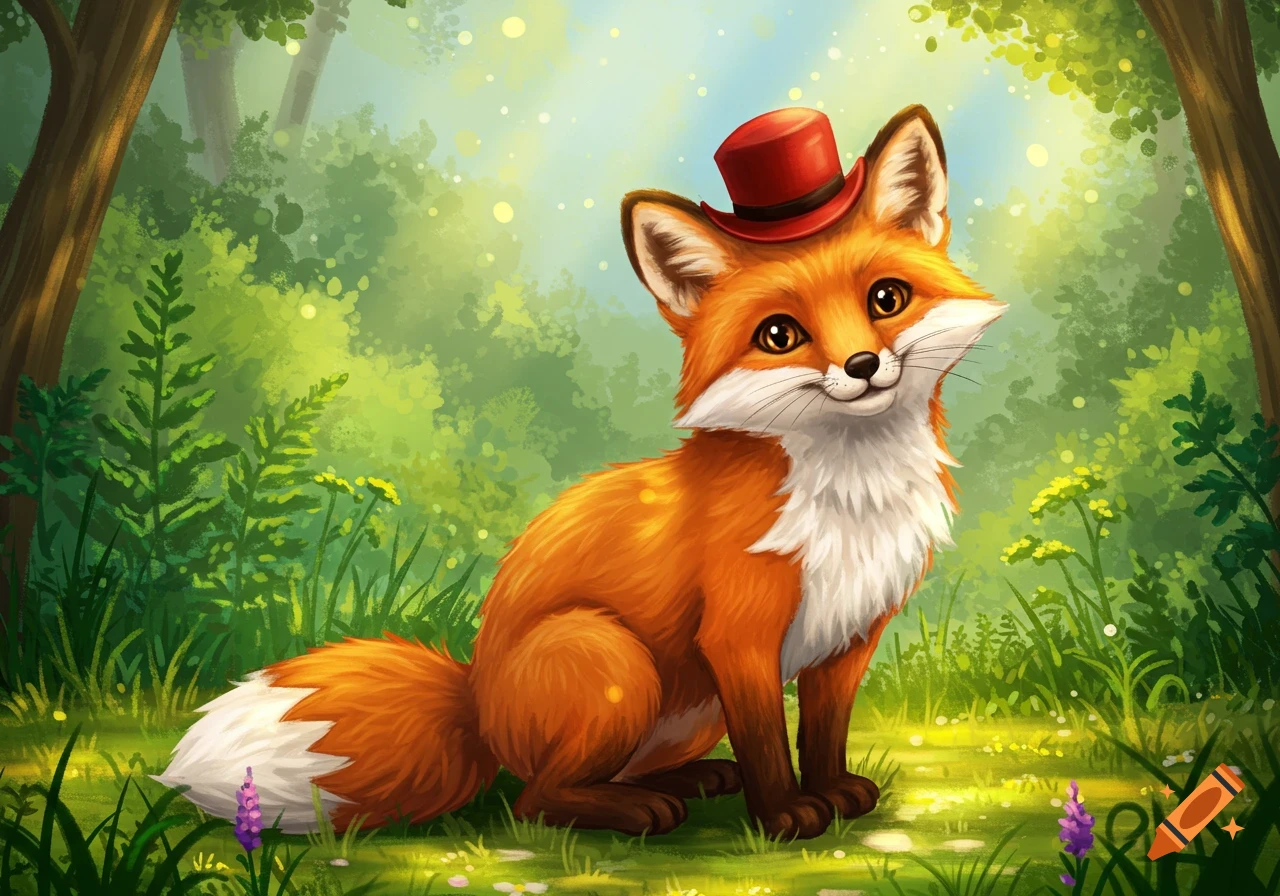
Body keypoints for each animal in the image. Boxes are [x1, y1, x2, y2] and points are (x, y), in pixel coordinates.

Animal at [158, 104, 1004, 840]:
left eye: (886, 298)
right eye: (779, 335)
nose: (862, 366)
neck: (850, 495)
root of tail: (475, 703)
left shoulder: (850, 633)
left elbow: (823, 733)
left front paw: (831, 793)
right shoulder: (738, 637)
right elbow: (769, 742)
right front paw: (786, 816)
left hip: (683, 709)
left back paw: (688, 782)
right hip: (613, 658)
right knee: (535, 799)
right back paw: (638, 810)